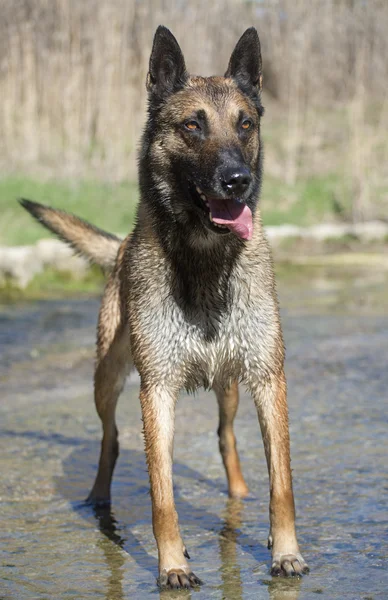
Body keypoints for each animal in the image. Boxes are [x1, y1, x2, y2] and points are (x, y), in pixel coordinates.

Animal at [20, 25, 310, 588]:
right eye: (192, 126)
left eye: (245, 124)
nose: (237, 180)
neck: (205, 259)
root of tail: (120, 247)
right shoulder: (156, 392)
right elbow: (162, 496)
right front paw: (173, 564)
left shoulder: (268, 378)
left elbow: (281, 483)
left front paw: (285, 552)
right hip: (108, 379)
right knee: (110, 439)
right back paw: (99, 499)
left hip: (230, 386)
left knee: (225, 436)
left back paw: (238, 494)